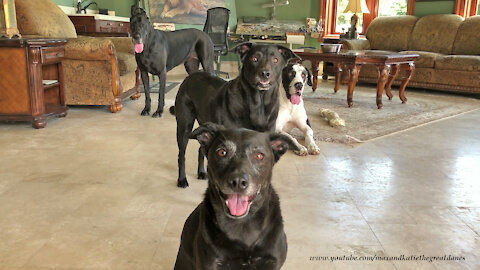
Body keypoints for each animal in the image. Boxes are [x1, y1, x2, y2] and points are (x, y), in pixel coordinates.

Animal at [171, 43, 298, 189]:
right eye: (254, 59)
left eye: (275, 60)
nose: (265, 73)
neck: (258, 104)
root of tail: (192, 75)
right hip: (184, 126)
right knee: (181, 155)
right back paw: (182, 179)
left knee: (201, 149)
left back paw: (201, 172)